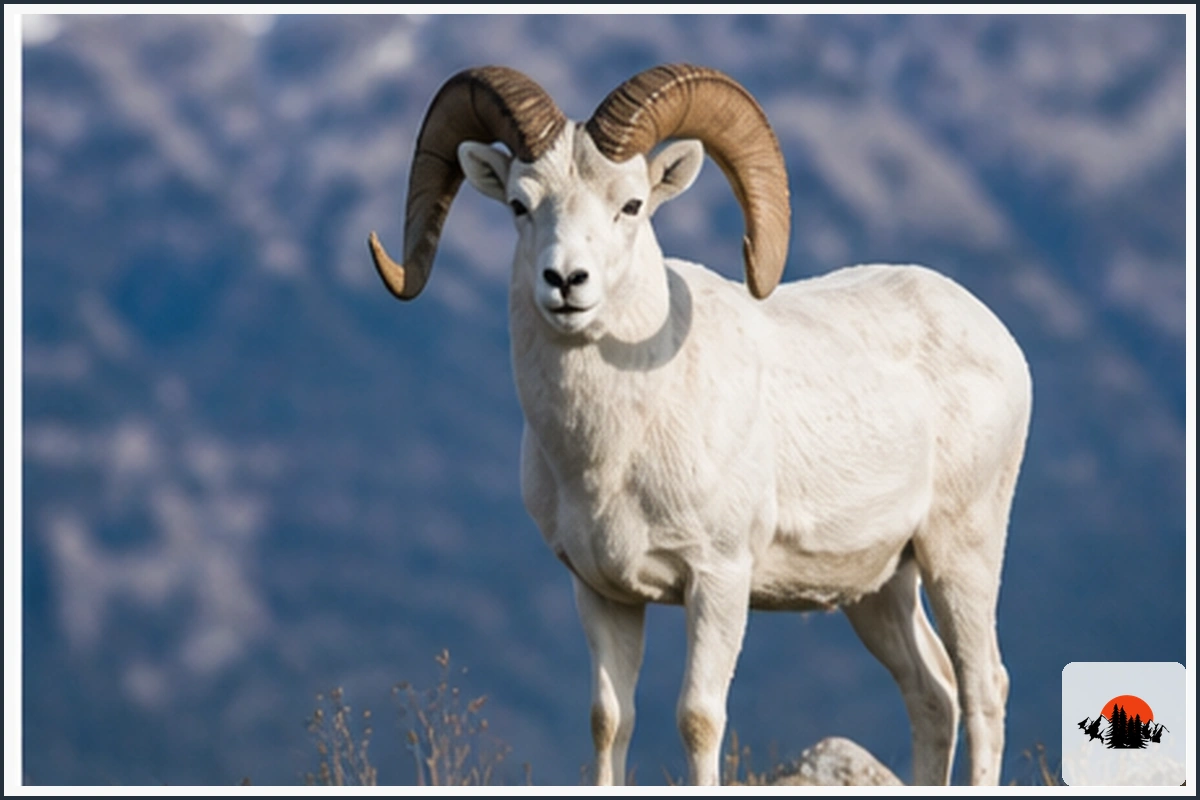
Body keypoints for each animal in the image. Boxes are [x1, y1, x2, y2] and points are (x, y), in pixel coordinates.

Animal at [368, 64, 1032, 786]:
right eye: (520, 204)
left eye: (631, 205)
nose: (566, 282)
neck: (611, 453)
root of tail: (996, 336)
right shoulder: (600, 592)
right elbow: (609, 720)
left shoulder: (718, 580)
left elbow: (698, 718)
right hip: (881, 587)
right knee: (932, 693)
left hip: (961, 553)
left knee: (984, 687)